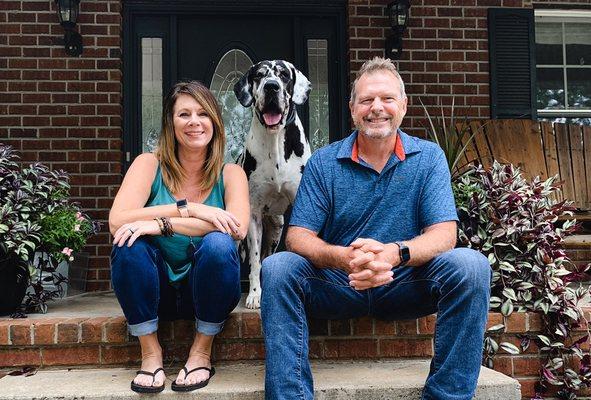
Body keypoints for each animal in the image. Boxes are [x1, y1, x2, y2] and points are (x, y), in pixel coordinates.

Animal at [234, 60, 312, 310]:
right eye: (259, 75)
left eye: (284, 75)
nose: (271, 86)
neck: (275, 140)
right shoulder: (254, 215)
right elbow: (255, 261)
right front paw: (254, 295)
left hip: (277, 227)